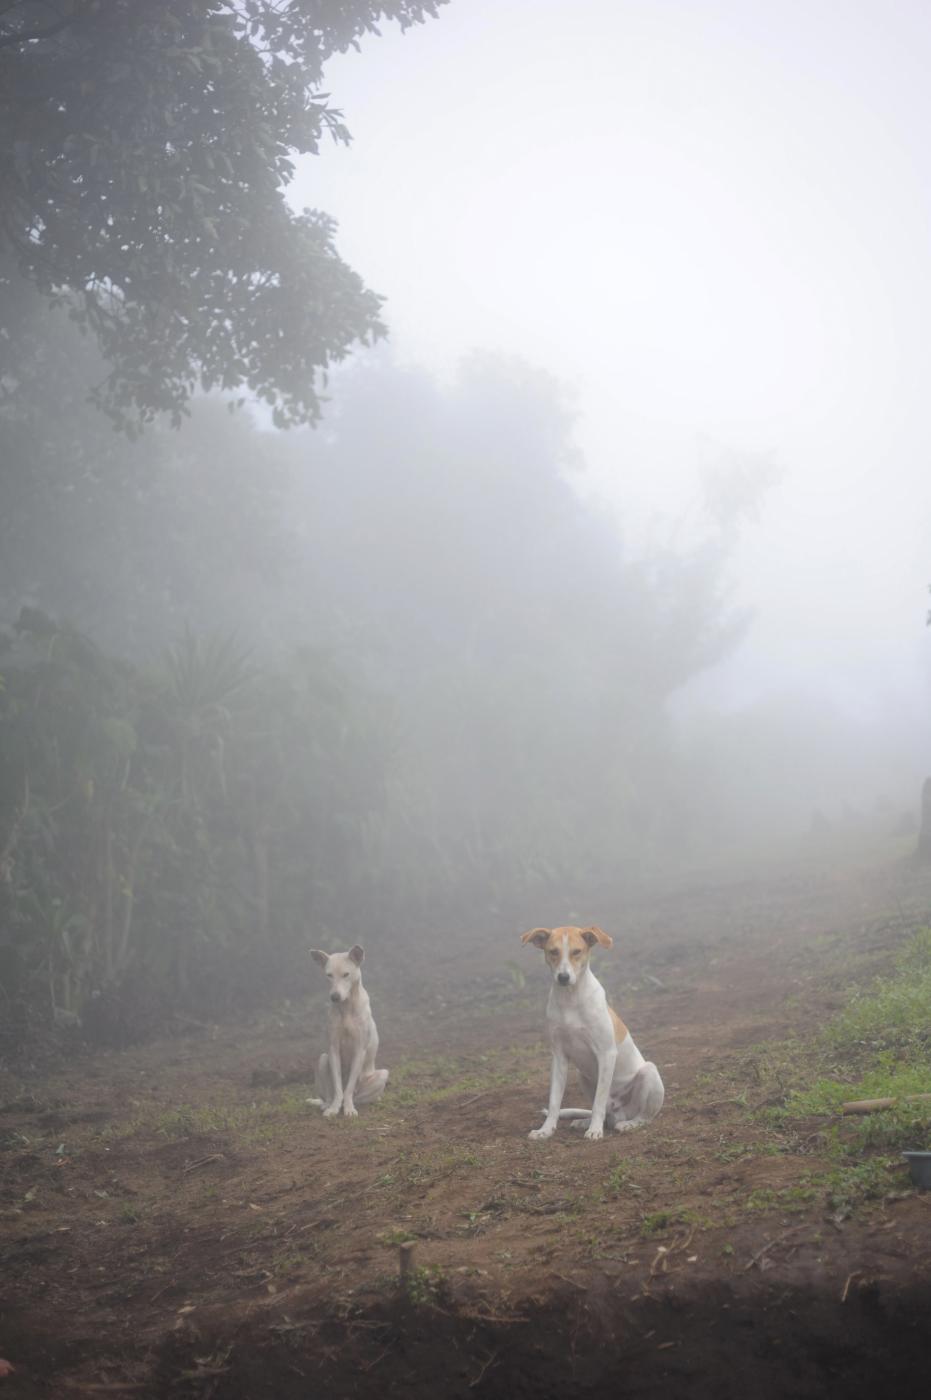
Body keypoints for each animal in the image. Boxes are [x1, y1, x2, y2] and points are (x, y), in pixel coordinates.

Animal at [308, 946, 389, 1120]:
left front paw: (349, 1109)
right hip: (323, 1059)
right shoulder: (333, 1049)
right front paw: (334, 1109)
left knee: (358, 1095)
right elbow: (338, 1087)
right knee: (329, 1095)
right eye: (329, 975)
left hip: (382, 1075)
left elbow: (349, 1088)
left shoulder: (360, 1050)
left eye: (346, 974)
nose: (334, 996)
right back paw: (327, 1104)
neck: (346, 1008)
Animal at [518, 924, 663, 1142]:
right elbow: (554, 1101)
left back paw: (627, 1124)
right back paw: (583, 1121)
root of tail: (618, 1112)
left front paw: (595, 1131)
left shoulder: (606, 1054)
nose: (563, 977)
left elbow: (598, 1102)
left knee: (643, 1116)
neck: (570, 999)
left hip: (649, 1073)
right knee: (605, 1114)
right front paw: (546, 1130)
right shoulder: (559, 1057)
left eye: (577, 952)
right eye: (553, 952)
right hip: (583, 1076)